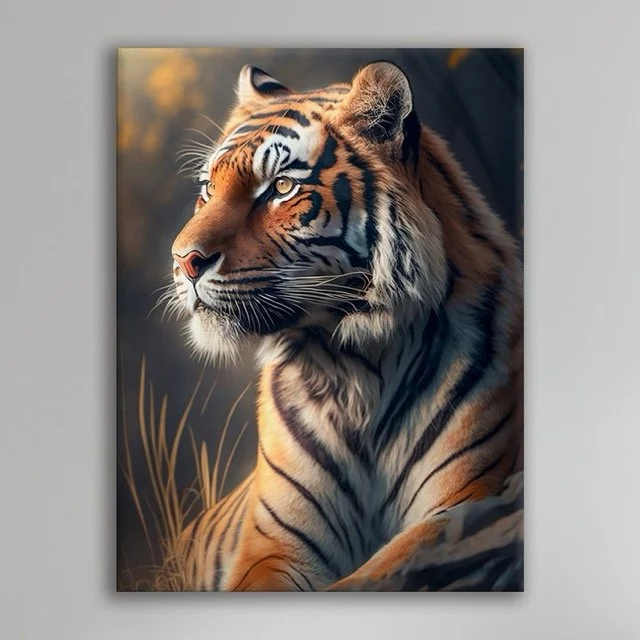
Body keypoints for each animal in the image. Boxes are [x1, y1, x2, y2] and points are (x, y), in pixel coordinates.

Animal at [168, 60, 523, 591]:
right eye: (208, 188)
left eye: (281, 188)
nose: (183, 261)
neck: (353, 363)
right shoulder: (273, 545)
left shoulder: (461, 505)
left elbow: (374, 576)